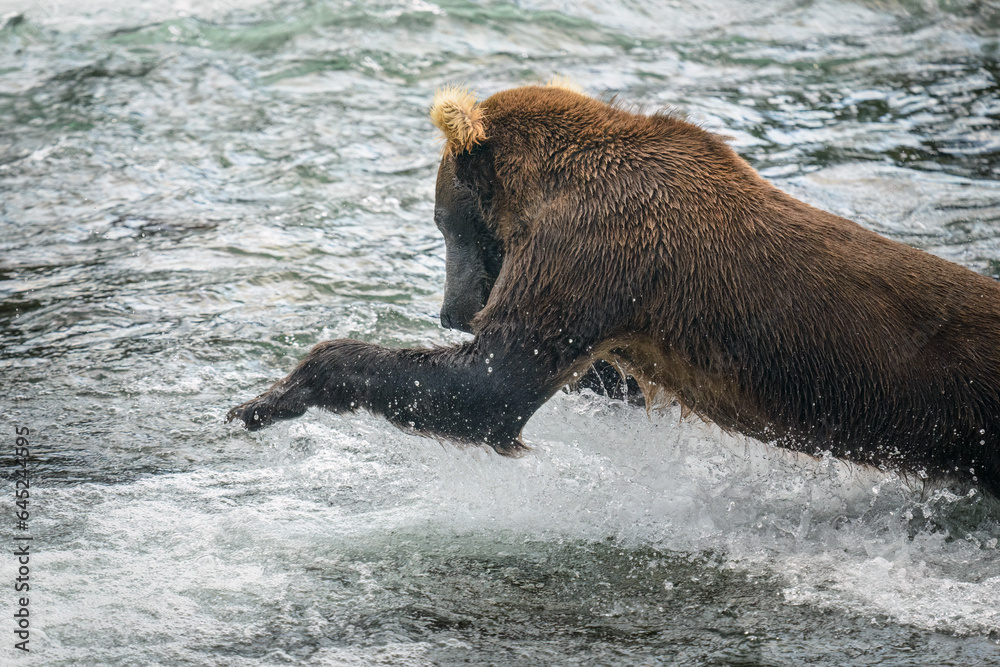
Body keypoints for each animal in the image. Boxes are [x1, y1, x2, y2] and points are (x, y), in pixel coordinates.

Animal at [228, 81, 1000, 497]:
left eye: (445, 222)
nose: (453, 312)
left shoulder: (591, 250)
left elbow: (489, 385)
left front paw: (274, 394)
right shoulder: (616, 303)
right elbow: (598, 376)